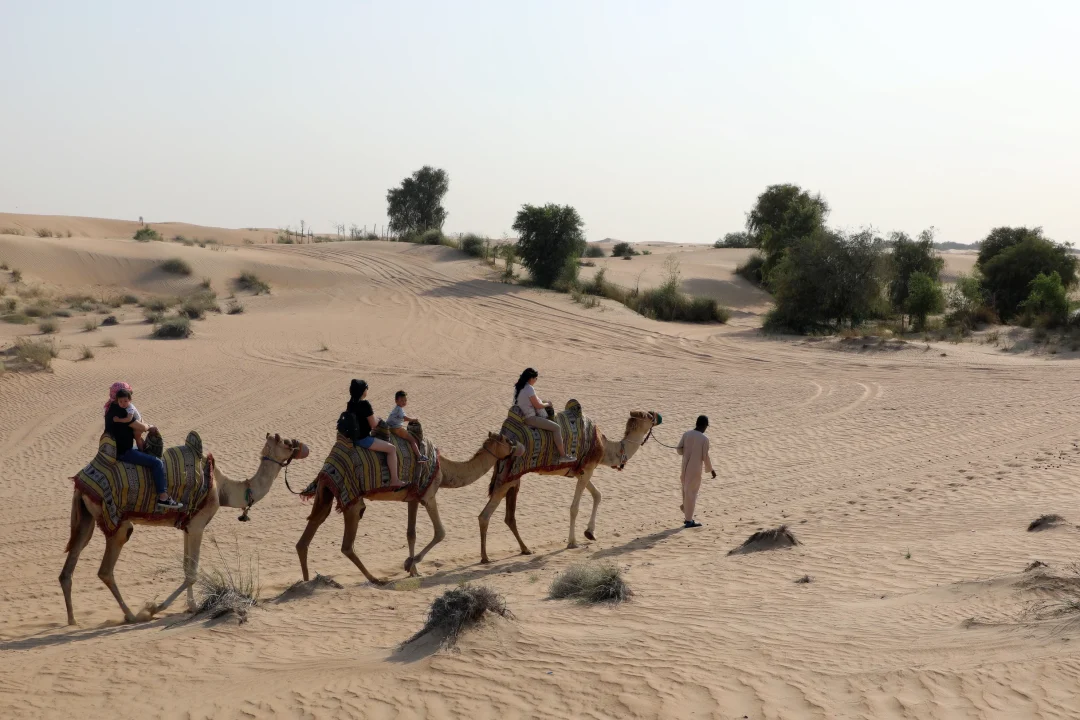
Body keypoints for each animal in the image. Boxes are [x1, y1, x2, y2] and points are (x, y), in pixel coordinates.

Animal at [61, 433, 308, 626]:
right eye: (287, 442)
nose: (304, 447)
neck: (222, 488)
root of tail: (81, 480)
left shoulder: (188, 526)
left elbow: (186, 566)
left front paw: (191, 606)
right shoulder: (198, 524)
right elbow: (192, 573)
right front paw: (156, 608)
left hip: (86, 518)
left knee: (70, 564)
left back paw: (72, 619)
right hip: (118, 523)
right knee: (105, 569)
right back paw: (132, 615)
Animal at [293, 431, 516, 582]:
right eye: (506, 440)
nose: (516, 445)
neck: (444, 470)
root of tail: (328, 464)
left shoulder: (413, 498)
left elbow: (411, 533)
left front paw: (414, 570)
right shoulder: (429, 495)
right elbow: (440, 532)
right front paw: (410, 564)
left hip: (325, 491)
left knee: (311, 529)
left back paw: (306, 582)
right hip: (352, 501)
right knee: (347, 545)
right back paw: (375, 579)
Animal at [479, 410, 656, 561]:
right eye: (648, 416)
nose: (657, 416)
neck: (604, 447)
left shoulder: (581, 471)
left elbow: (597, 495)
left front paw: (590, 533)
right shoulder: (588, 468)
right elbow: (574, 508)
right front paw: (572, 542)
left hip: (511, 477)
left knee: (506, 516)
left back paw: (523, 549)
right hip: (507, 477)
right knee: (485, 515)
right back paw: (486, 557)